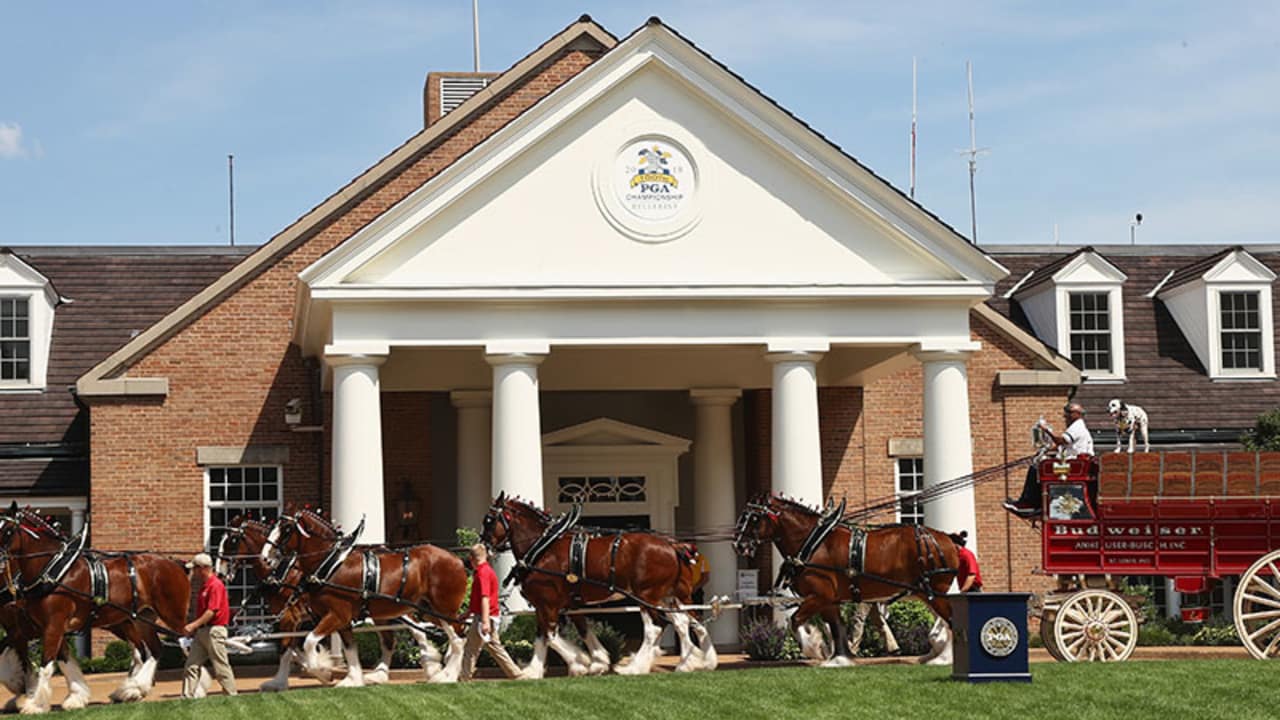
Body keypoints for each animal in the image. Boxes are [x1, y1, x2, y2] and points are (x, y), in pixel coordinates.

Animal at [737, 491, 957, 666]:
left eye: (754, 518)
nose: (739, 544)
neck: (815, 543)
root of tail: (947, 538)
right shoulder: (829, 600)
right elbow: (837, 627)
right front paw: (840, 658)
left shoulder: (819, 596)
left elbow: (796, 620)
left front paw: (814, 648)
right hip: (925, 592)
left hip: (934, 592)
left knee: (950, 620)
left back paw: (943, 658)